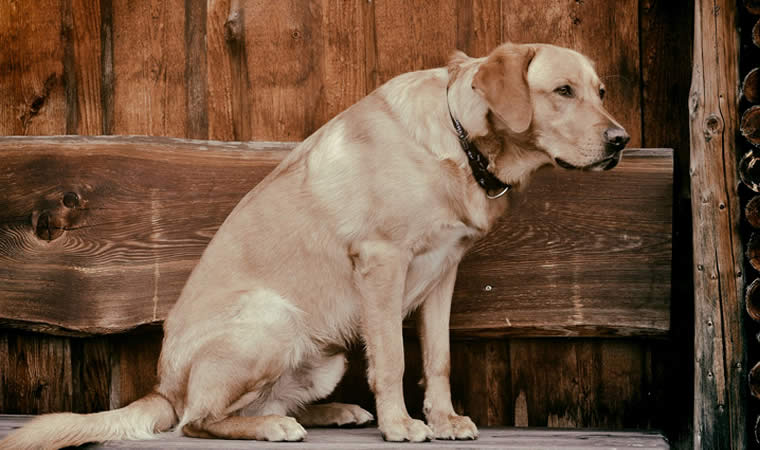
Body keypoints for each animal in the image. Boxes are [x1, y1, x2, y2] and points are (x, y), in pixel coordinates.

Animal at [1, 41, 628, 446]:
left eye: (600, 91)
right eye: (563, 91)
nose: (621, 140)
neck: (461, 140)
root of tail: (163, 387)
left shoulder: (443, 273)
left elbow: (439, 359)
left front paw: (444, 419)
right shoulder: (383, 262)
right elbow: (394, 359)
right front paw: (402, 425)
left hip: (323, 354)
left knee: (260, 400)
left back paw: (332, 411)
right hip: (271, 318)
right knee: (197, 420)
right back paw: (275, 427)